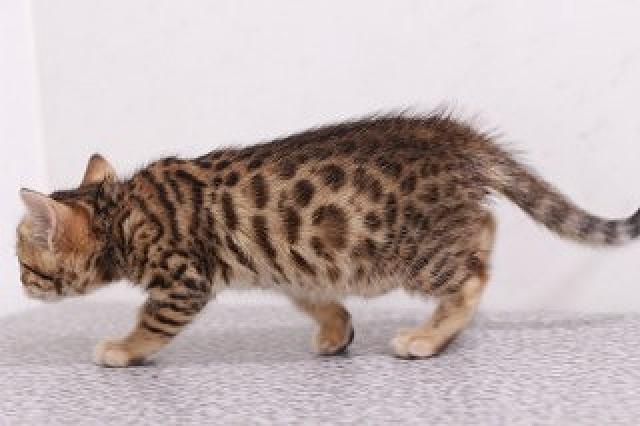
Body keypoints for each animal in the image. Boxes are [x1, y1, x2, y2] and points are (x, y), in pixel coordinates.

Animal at [15, 113, 640, 367]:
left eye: (24, 263)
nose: (21, 288)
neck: (120, 212)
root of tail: (457, 138)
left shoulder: (182, 280)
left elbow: (151, 323)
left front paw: (123, 348)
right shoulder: (294, 265)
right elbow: (318, 300)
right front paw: (337, 332)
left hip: (418, 254)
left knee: (472, 274)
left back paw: (426, 336)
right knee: (486, 229)